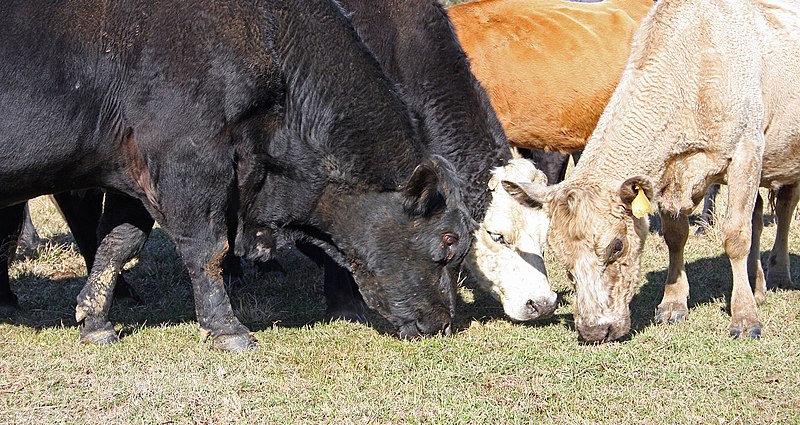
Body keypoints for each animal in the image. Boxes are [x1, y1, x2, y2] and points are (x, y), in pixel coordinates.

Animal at [0, 0, 476, 350]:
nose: (444, 323)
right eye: (449, 240)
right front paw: (226, 329)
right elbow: (207, 249)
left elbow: (118, 242)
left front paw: (96, 321)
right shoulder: (190, 162)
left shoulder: (133, 175)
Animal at [506, 0, 800, 342]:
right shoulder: (669, 172)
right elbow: (675, 235)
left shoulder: (746, 152)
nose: (593, 330)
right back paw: (759, 285)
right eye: (559, 255)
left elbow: (736, 238)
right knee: (760, 213)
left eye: (616, 246)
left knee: (784, 208)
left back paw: (778, 274)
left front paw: (744, 316)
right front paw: (673, 303)